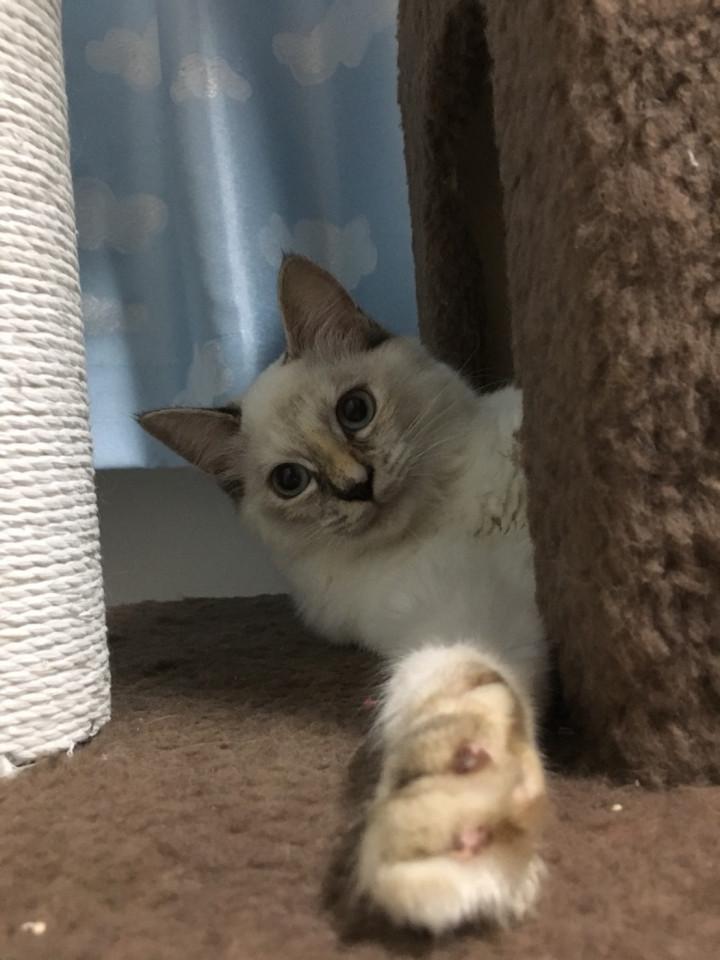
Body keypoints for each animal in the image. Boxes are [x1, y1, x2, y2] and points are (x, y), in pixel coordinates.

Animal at [138, 255, 549, 935]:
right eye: (291, 481)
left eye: (355, 410)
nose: (359, 486)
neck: (448, 514)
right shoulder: (458, 618)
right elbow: (445, 696)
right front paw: (448, 843)